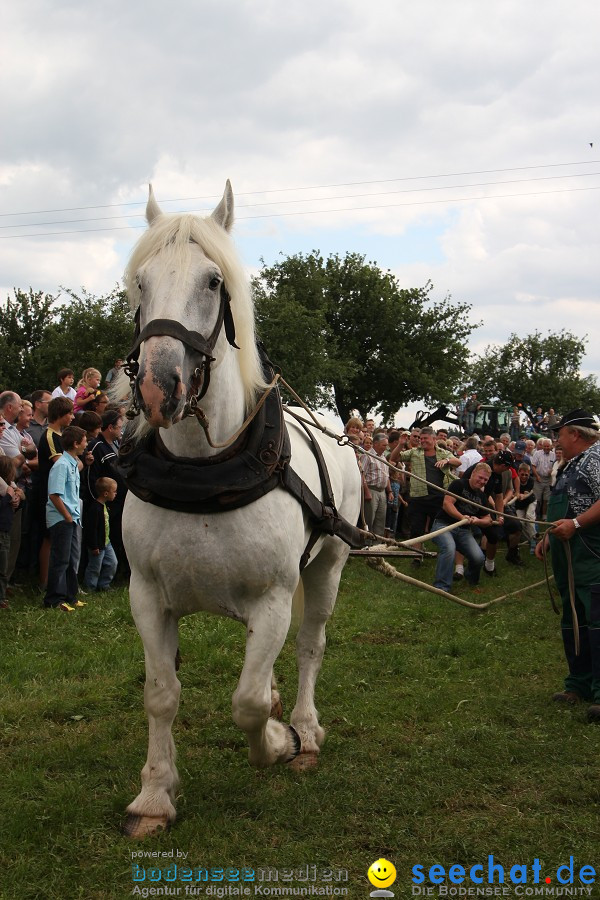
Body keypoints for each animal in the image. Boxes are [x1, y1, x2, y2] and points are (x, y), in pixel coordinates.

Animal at [119, 181, 358, 836]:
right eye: (141, 283)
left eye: (211, 281)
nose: (158, 388)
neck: (204, 471)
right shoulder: (147, 594)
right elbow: (161, 693)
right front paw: (155, 794)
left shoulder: (273, 598)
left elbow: (247, 703)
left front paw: (279, 742)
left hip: (327, 567)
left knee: (309, 644)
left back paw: (303, 725)